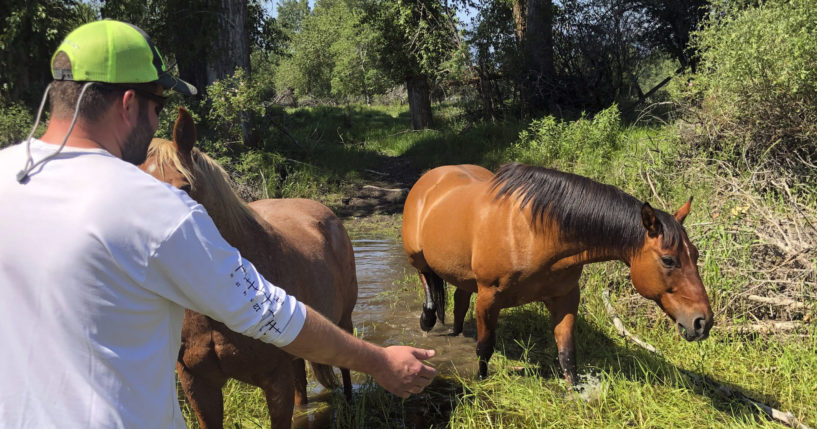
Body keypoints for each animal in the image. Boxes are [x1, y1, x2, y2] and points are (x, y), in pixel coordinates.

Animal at [404, 163, 712, 382]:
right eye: (669, 260)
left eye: (696, 254)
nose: (702, 322)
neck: (533, 232)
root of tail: (431, 178)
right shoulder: (489, 297)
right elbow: (485, 347)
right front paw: (480, 379)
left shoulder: (565, 298)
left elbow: (567, 354)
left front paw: (575, 392)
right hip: (417, 257)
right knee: (427, 281)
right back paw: (427, 318)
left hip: (463, 275)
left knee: (459, 301)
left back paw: (455, 331)